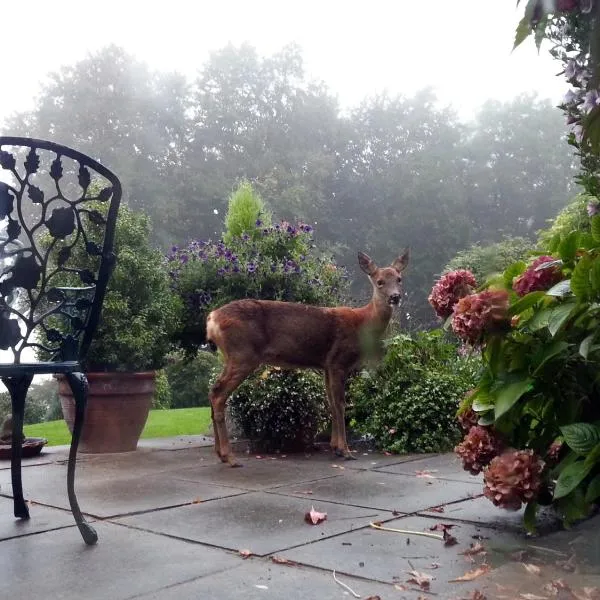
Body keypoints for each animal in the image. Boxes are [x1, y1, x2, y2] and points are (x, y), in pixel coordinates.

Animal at [205, 246, 408, 466]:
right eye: (379, 281)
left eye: (399, 279)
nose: (395, 297)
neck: (363, 323)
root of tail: (212, 318)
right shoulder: (339, 360)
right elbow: (340, 404)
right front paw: (345, 451)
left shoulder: (326, 365)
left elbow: (330, 403)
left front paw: (335, 447)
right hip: (242, 353)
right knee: (218, 394)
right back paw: (229, 457)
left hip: (232, 356)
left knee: (212, 390)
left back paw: (219, 453)